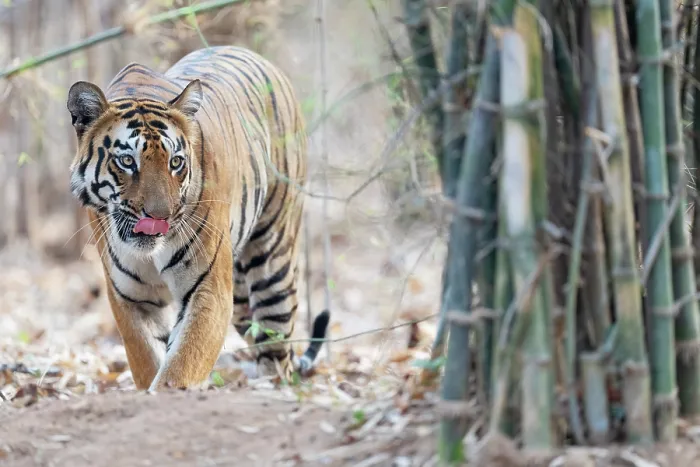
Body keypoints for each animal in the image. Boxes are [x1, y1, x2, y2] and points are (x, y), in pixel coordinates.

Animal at [66, 45, 330, 391]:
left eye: (176, 162)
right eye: (127, 161)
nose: (160, 216)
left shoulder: (209, 291)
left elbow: (181, 366)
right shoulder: (131, 298)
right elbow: (147, 360)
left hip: (273, 265)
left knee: (277, 354)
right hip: (241, 298)